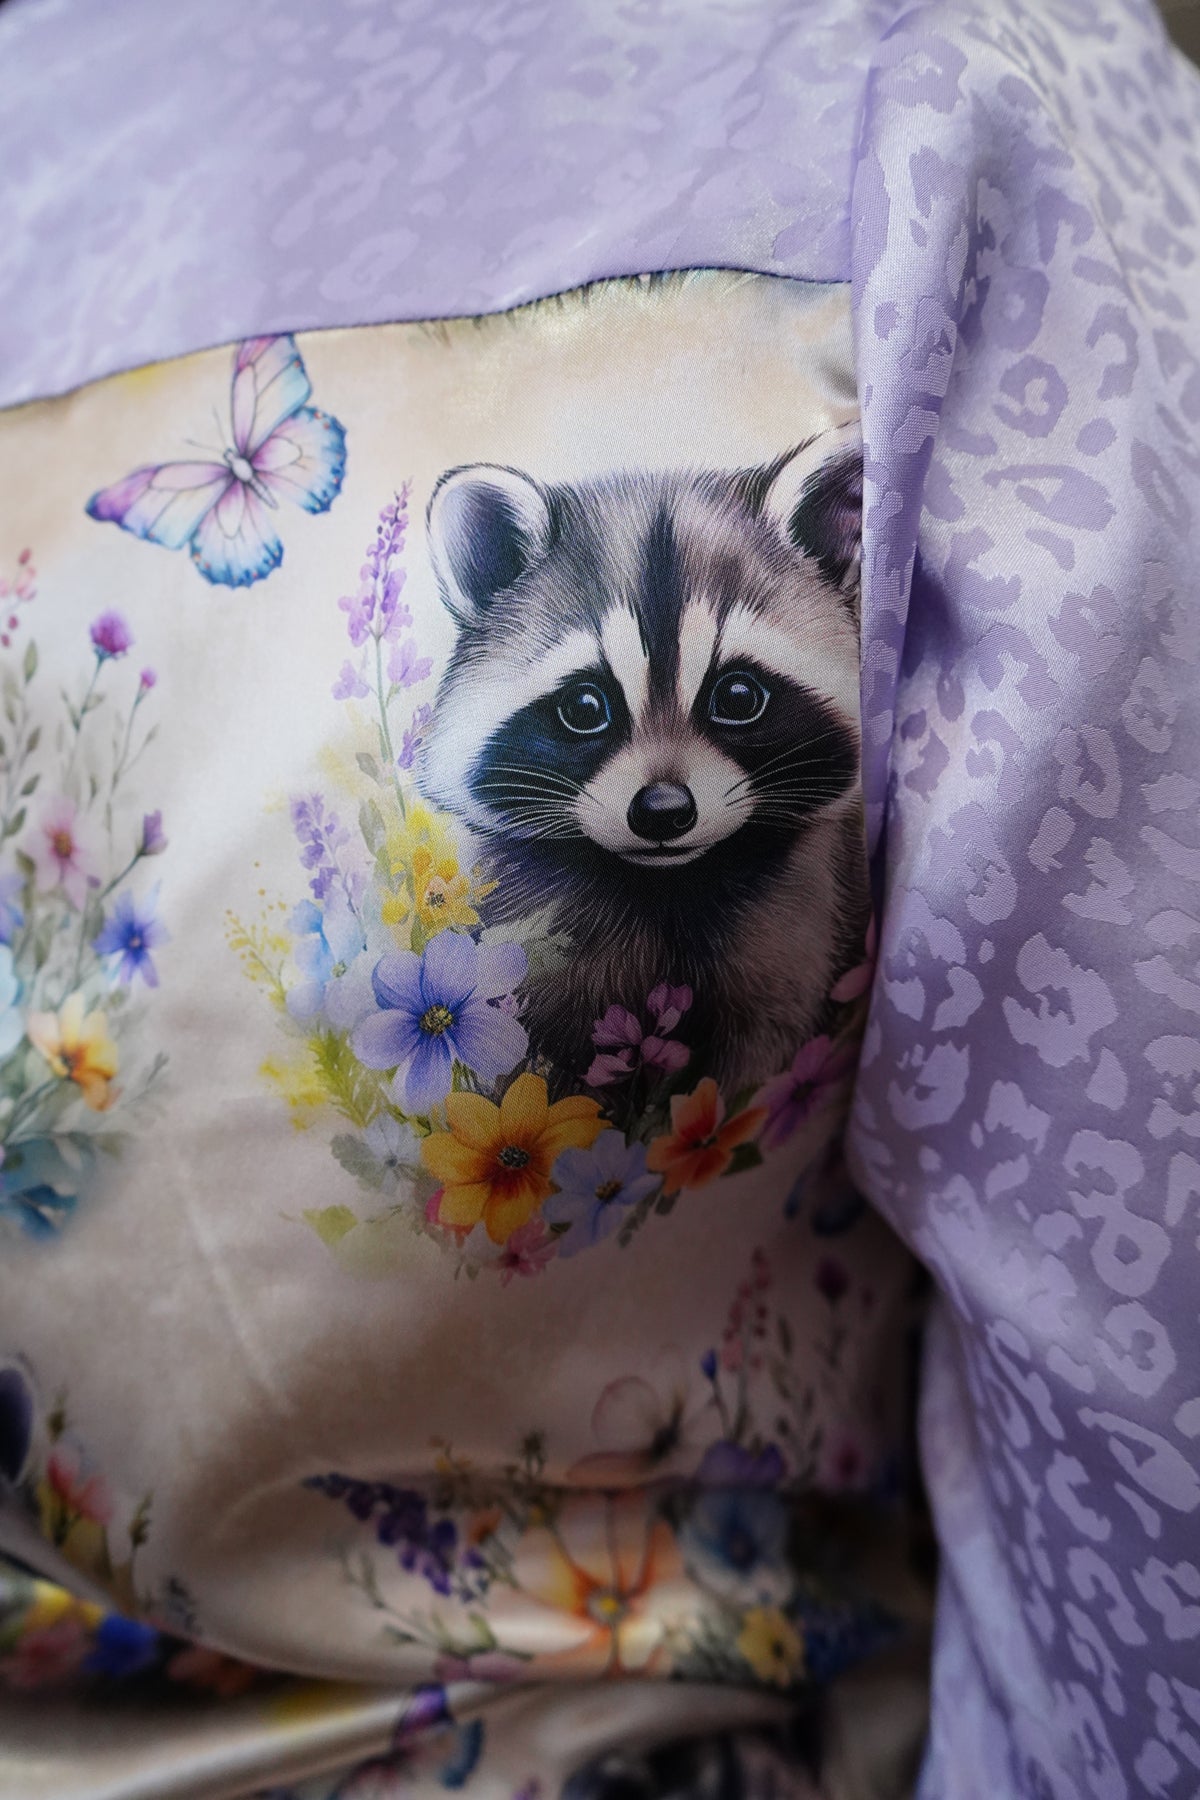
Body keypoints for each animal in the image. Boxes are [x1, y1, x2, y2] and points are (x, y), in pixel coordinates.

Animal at [416, 423, 866, 1090]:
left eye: (738, 696)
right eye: (584, 706)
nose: (662, 810)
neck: (663, 884)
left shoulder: (795, 919)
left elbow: (761, 1052)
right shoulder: (525, 924)